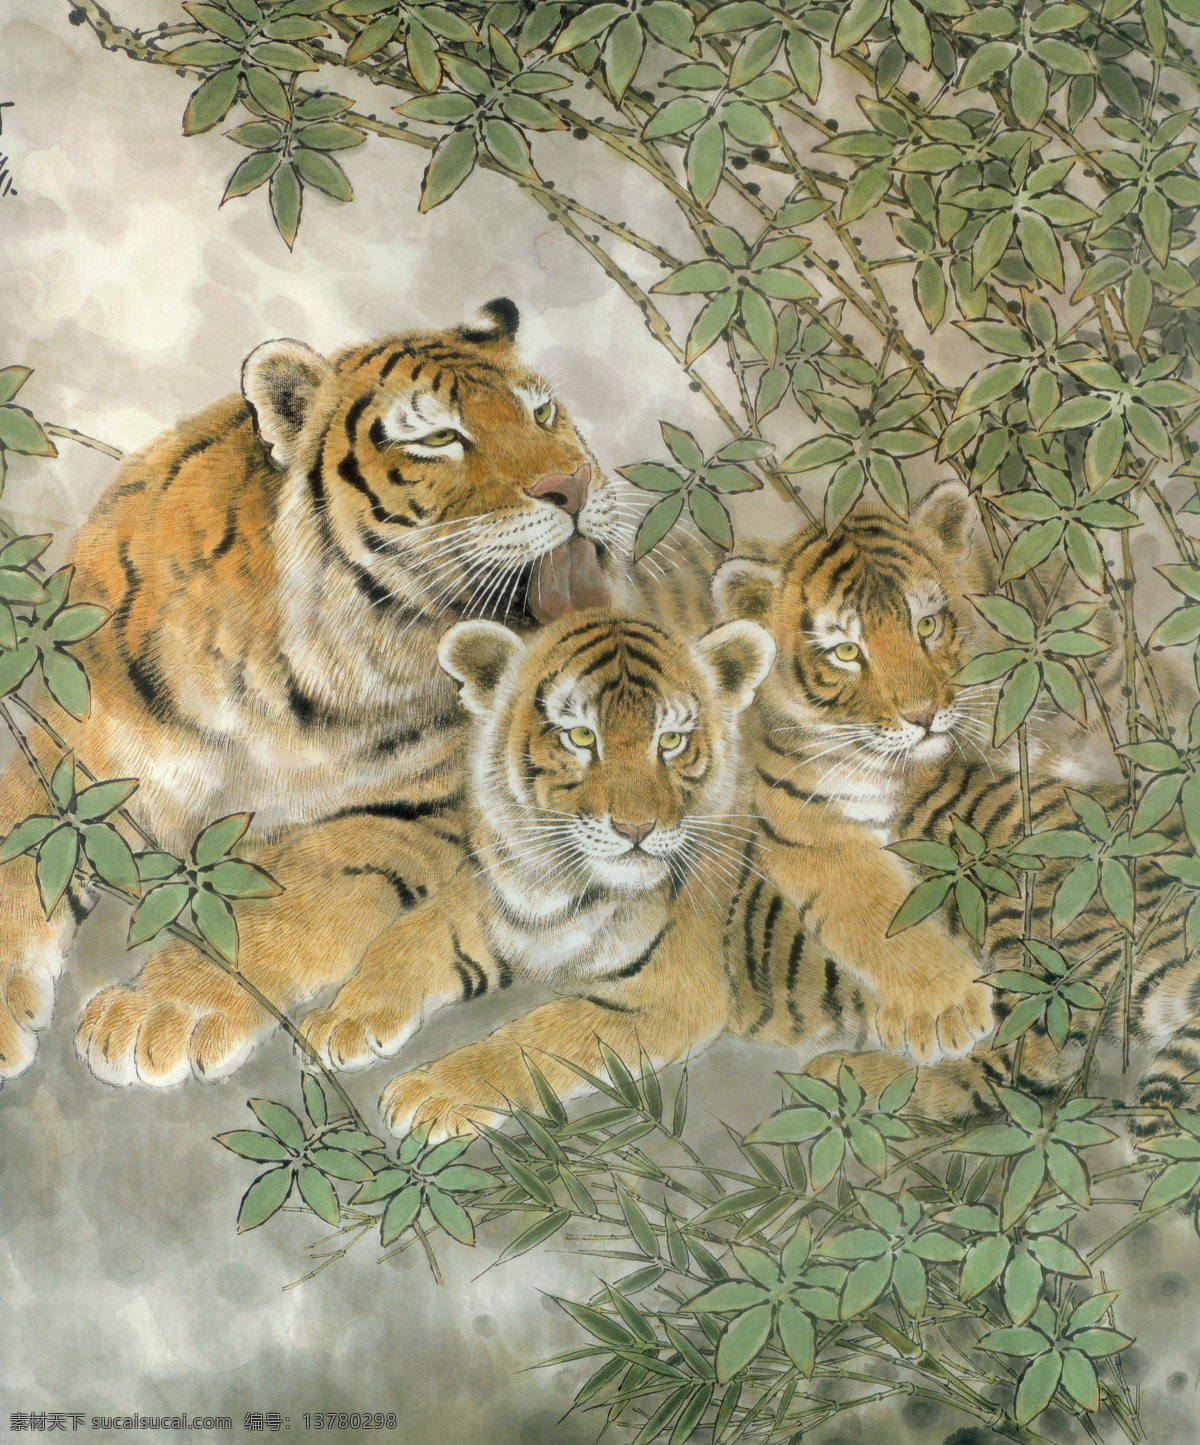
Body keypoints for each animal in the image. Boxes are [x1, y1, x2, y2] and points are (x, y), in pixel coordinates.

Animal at [0, 299, 630, 1087]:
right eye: (440, 438)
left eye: (542, 412)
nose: (576, 483)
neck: (291, 675)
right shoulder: (68, 756)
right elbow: (14, 855)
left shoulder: (410, 806)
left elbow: (287, 896)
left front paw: (161, 1014)